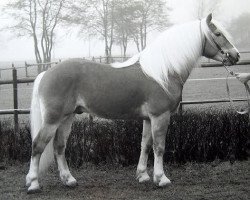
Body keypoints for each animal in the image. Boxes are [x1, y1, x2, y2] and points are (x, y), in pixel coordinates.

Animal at [25, 13, 240, 193]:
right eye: (218, 34)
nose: (236, 55)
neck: (163, 71)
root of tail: (46, 73)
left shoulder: (148, 119)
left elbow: (145, 145)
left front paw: (143, 175)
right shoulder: (160, 116)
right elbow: (159, 147)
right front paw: (161, 178)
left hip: (67, 118)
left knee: (59, 146)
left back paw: (68, 180)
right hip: (53, 120)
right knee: (38, 145)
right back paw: (33, 183)